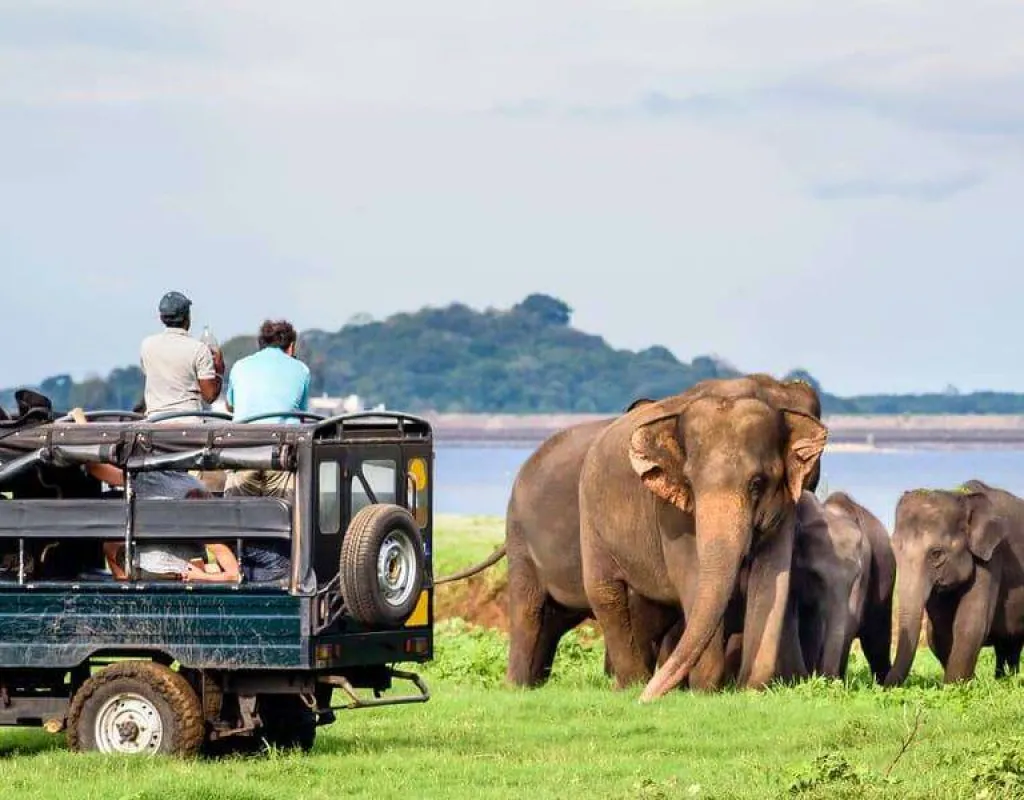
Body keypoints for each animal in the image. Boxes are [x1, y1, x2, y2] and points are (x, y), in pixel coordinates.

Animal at [579, 376, 828, 700]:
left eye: (757, 483)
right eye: (689, 482)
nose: (645, 700)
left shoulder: (785, 503)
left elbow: (772, 575)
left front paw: (749, 690)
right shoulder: (671, 512)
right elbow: (693, 576)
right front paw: (706, 691)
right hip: (589, 518)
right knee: (605, 592)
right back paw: (631, 685)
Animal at [791, 491, 895, 683]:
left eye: (856, 577)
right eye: (815, 575)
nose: (825, 679)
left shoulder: (865, 567)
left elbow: (851, 620)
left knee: (876, 643)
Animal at [884, 480, 1024, 686]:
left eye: (936, 554)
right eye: (893, 548)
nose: (881, 685)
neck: (962, 496)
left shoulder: (991, 557)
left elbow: (970, 623)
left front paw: (956, 686)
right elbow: (937, 631)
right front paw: (968, 682)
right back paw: (1003, 680)